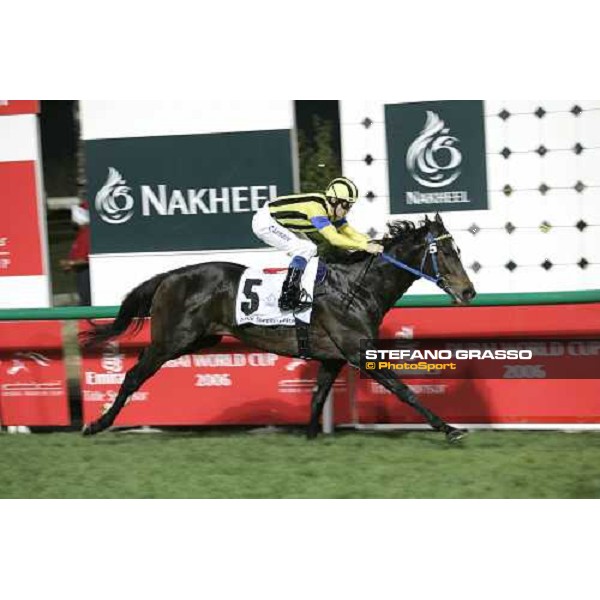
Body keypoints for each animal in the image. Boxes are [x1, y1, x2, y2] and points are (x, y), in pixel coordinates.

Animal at [81, 213, 474, 442]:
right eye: (447, 253)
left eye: (458, 250)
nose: (469, 292)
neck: (356, 287)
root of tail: (170, 276)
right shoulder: (358, 352)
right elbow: (405, 390)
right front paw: (450, 429)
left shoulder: (332, 357)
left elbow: (317, 396)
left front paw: (311, 437)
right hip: (171, 341)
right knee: (133, 376)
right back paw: (96, 425)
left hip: (199, 340)